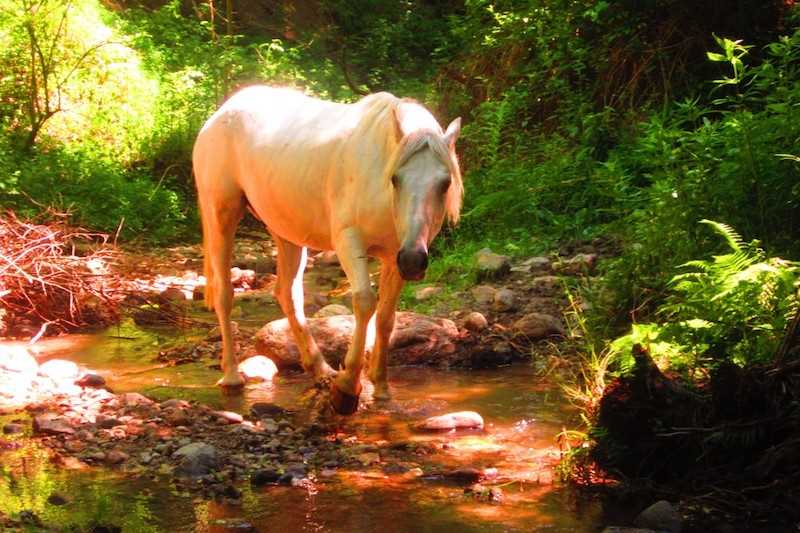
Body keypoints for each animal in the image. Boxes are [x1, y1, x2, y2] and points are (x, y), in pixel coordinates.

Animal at [191, 85, 462, 414]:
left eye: (445, 183)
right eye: (395, 179)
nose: (413, 261)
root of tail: (222, 112)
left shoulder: (396, 254)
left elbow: (386, 317)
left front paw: (381, 389)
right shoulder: (349, 241)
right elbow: (365, 302)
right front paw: (346, 388)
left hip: (285, 230)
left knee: (288, 295)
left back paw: (321, 370)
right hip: (222, 215)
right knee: (225, 294)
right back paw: (232, 377)